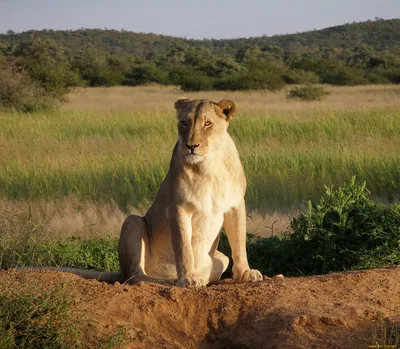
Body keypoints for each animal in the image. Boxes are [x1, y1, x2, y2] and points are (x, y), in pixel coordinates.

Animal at [19, 97, 262, 286]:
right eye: (184, 123)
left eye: (208, 123)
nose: (191, 146)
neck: (210, 164)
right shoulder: (177, 208)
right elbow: (183, 247)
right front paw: (187, 278)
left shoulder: (235, 204)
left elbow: (239, 242)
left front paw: (245, 273)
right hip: (133, 221)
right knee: (135, 276)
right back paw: (171, 279)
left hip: (220, 257)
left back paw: (201, 278)